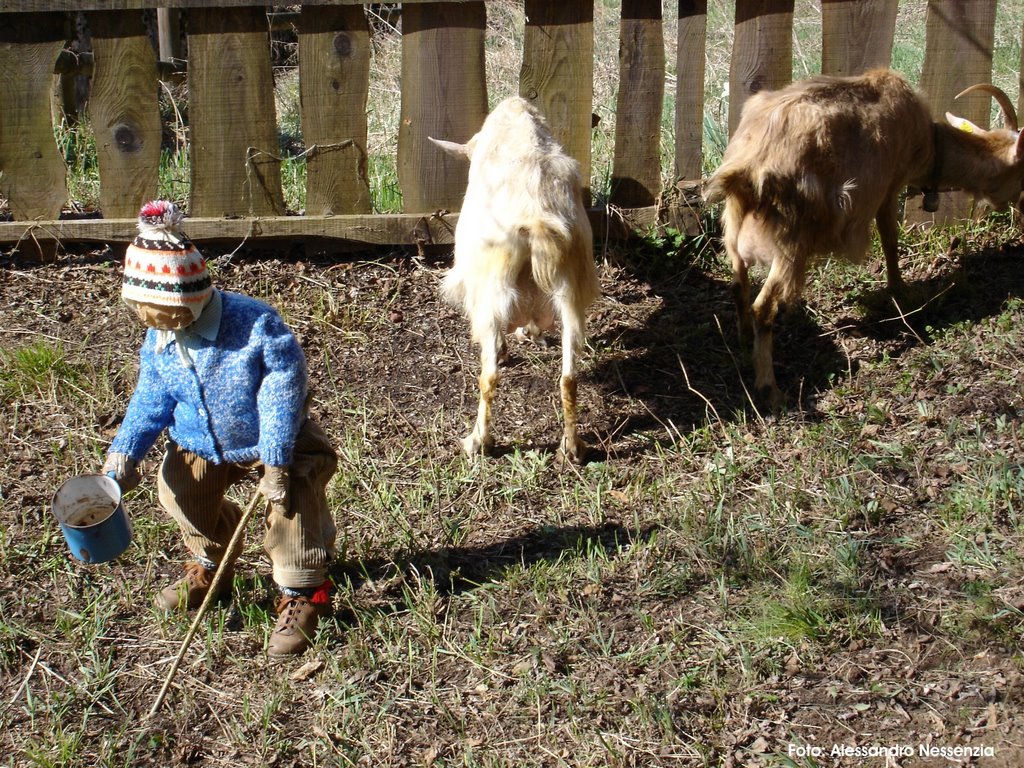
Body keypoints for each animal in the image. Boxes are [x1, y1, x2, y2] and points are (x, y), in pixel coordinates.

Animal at [430, 96, 598, 462]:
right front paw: (532, 334)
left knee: (489, 376)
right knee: (569, 378)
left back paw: (478, 441)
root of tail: (537, 220)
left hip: (491, 292)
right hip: (571, 292)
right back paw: (572, 448)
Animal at [704, 67, 1024, 409]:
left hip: (733, 229)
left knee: (739, 285)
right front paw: (900, 291)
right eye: (1021, 169)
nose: (1019, 206)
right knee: (762, 307)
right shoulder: (889, 187)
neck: (928, 141)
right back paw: (771, 389)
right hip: (791, 242)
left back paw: (743, 340)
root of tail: (749, 167)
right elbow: (890, 239)